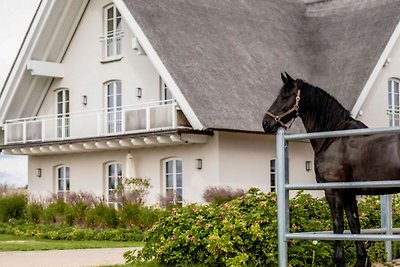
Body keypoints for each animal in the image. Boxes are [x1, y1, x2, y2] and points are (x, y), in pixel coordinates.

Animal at [262, 72, 400, 266]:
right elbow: (354, 225)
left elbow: (338, 226)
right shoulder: (349, 193)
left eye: (285, 96)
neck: (333, 137)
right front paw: (362, 259)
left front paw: (339, 260)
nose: (266, 123)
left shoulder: (333, 191)